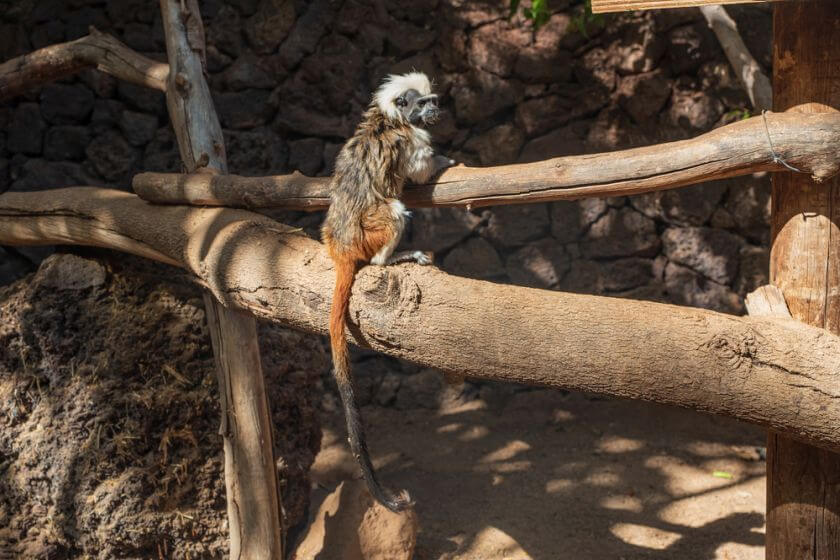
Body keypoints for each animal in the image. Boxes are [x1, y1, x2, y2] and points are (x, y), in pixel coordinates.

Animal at [322, 72, 452, 516]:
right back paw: (390, 258)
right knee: (394, 209)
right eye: (422, 104)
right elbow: (421, 169)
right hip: (372, 228)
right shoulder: (409, 140)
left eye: (433, 101)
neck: (389, 118)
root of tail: (341, 244)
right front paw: (445, 161)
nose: (435, 112)